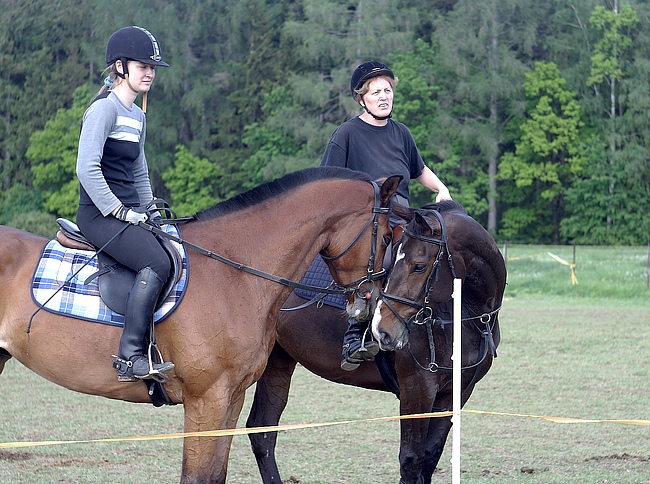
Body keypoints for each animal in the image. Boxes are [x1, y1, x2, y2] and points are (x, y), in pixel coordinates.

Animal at [0, 167, 400, 484]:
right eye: (388, 237)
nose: (374, 307)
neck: (234, 273)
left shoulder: (230, 399)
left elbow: (215, 474)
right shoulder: (206, 400)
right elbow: (196, 477)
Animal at [246, 200, 504, 484]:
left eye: (419, 265)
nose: (383, 331)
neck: (466, 315)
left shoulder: (455, 393)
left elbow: (430, 458)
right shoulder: (417, 388)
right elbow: (411, 460)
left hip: (278, 362)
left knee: (262, 430)